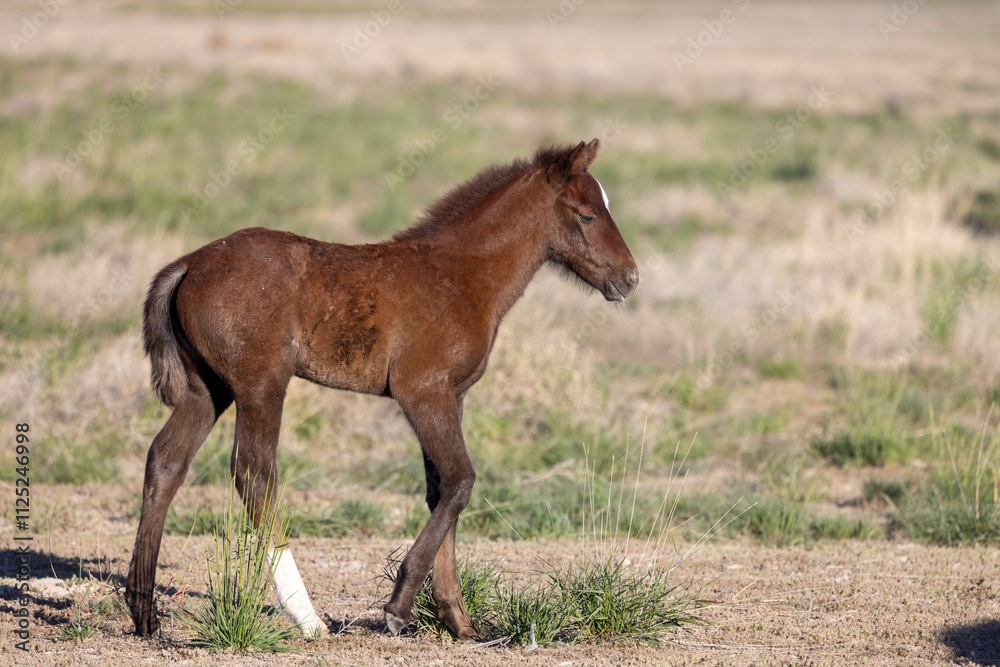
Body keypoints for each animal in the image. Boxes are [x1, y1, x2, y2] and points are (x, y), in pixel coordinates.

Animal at [124, 138, 638, 640]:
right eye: (587, 214)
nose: (630, 278)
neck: (461, 275)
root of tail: (187, 264)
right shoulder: (423, 391)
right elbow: (461, 481)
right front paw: (399, 607)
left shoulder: (453, 396)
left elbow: (442, 489)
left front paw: (458, 622)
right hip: (261, 384)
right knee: (254, 473)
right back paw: (307, 618)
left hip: (206, 389)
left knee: (166, 460)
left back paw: (143, 612)